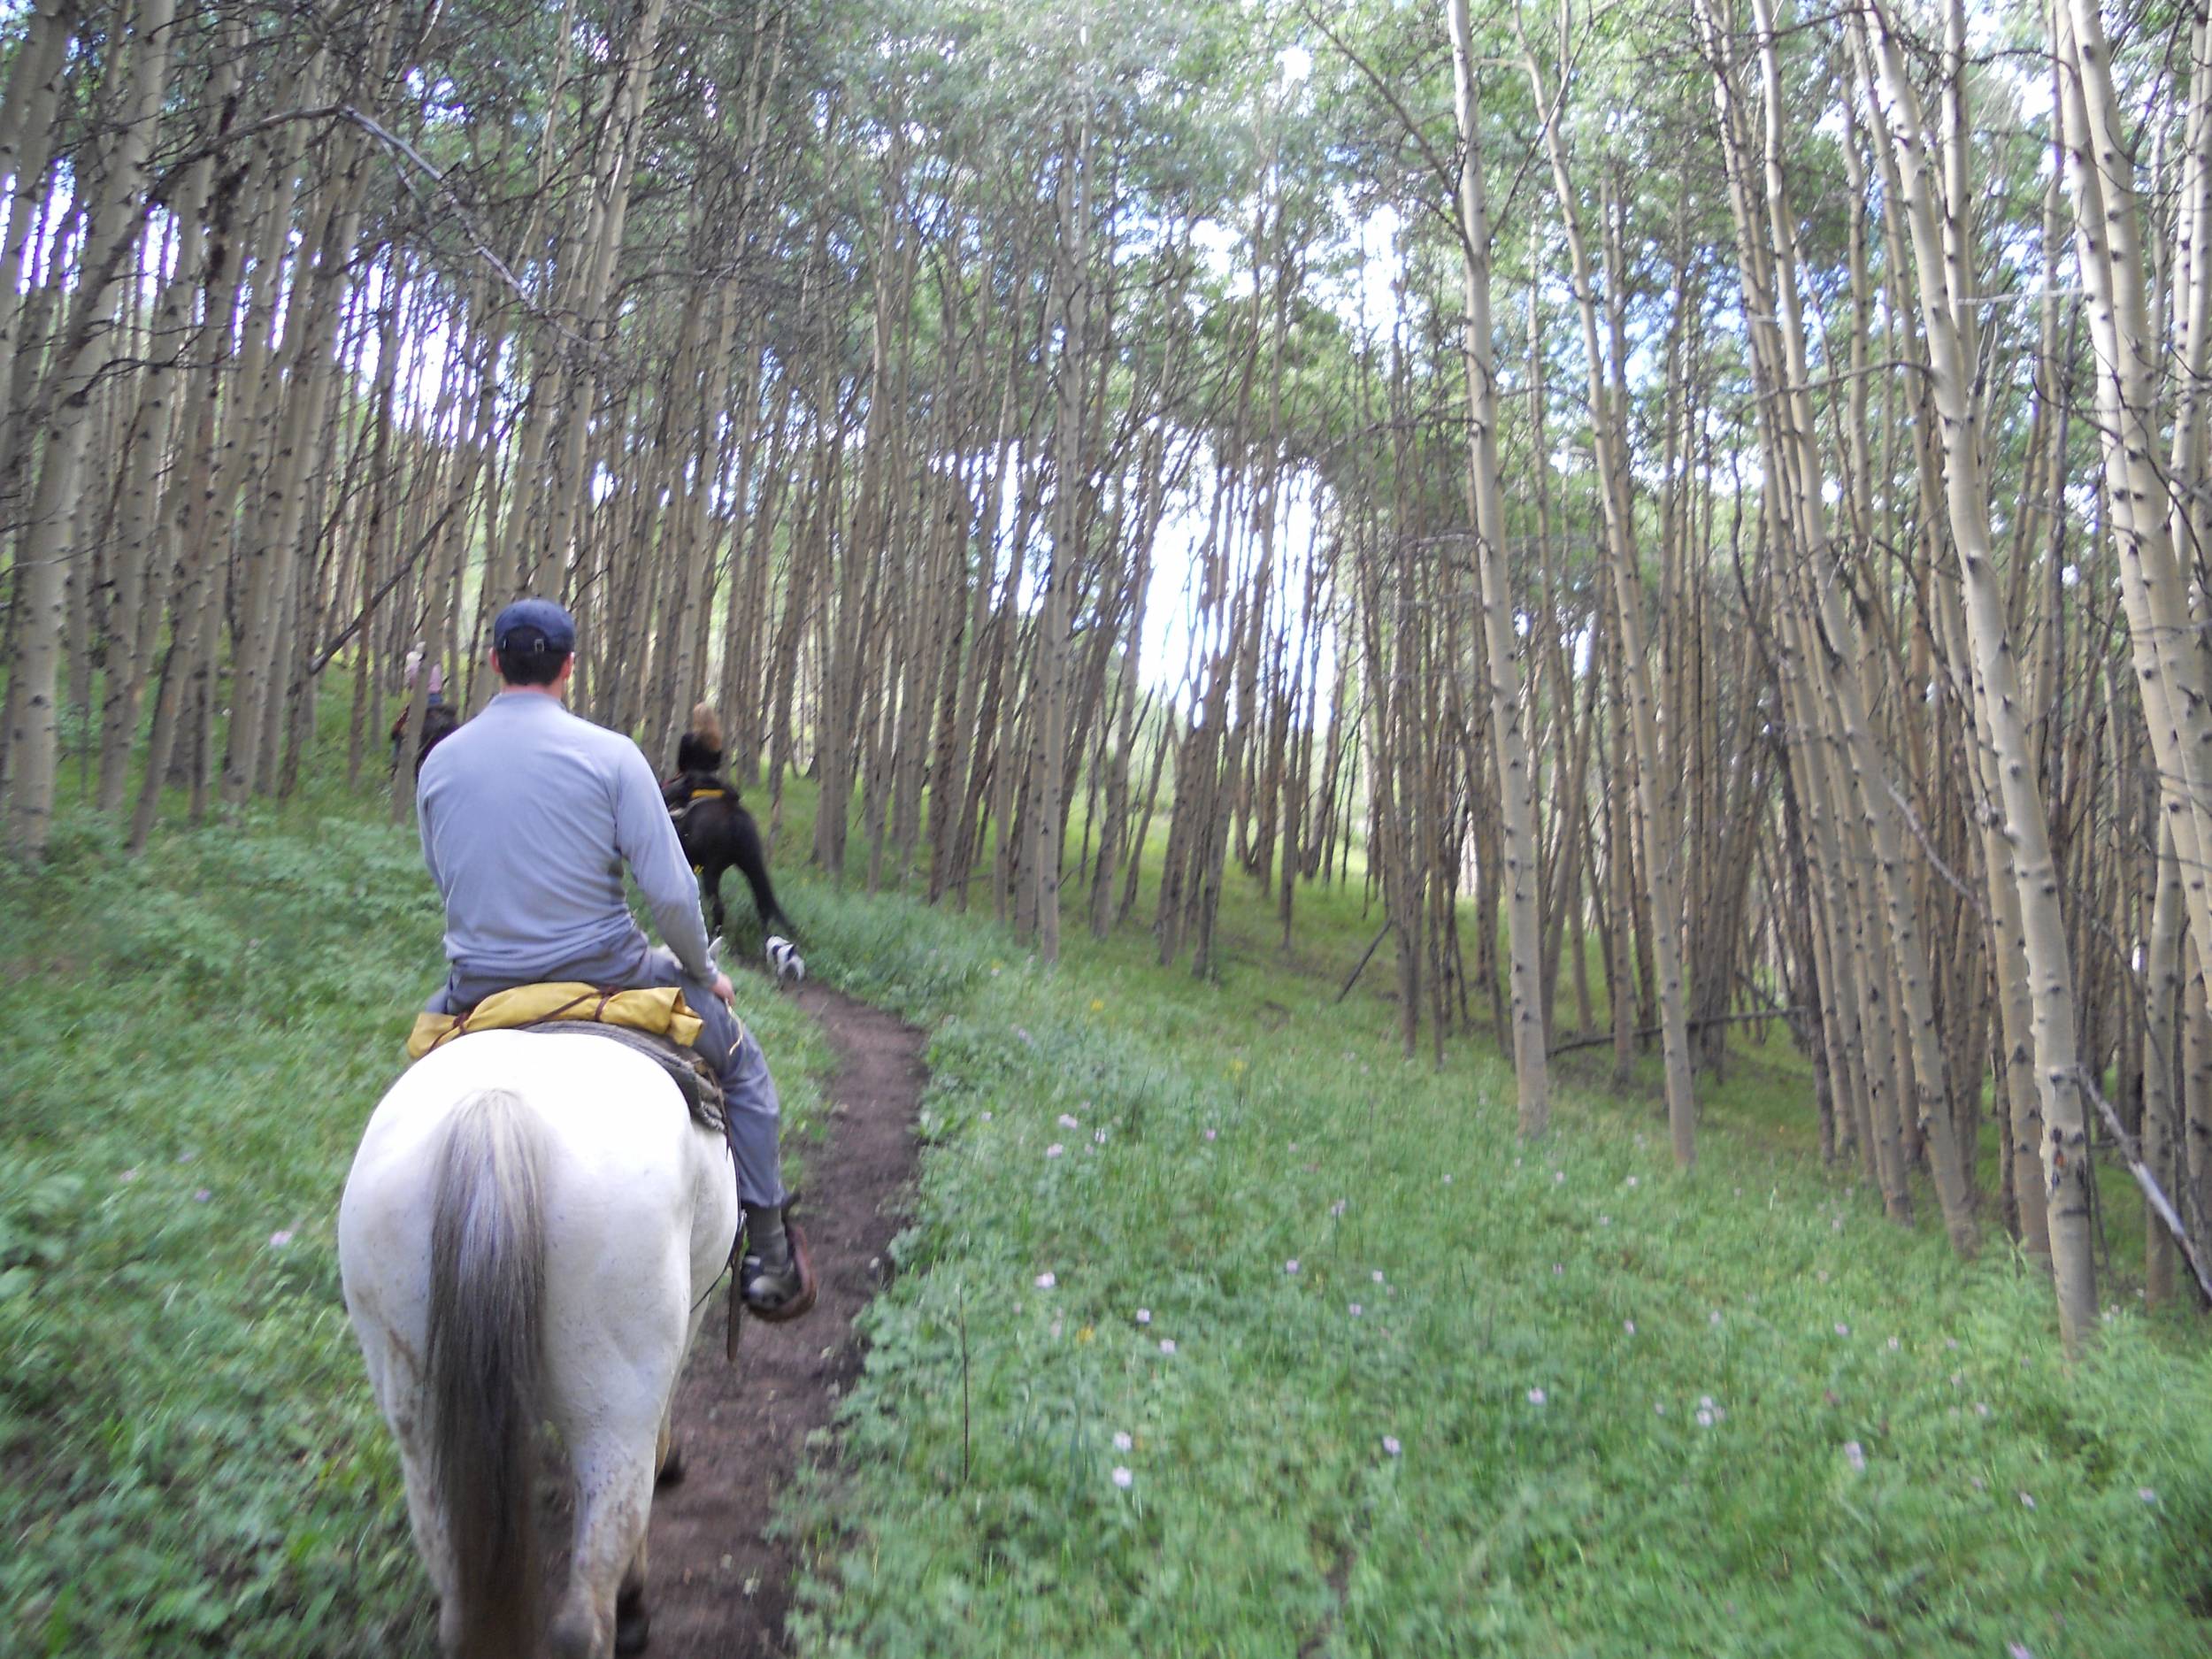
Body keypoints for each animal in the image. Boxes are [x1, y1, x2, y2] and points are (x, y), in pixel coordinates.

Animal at [332, 1035, 739, 1655]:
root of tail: (497, 1115)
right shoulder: (688, 1324)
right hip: (612, 1414)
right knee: (585, 1614)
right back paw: (629, 1611)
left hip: (421, 1423)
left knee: (458, 1608)